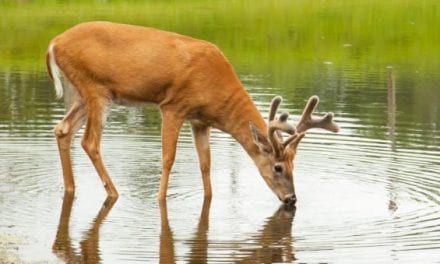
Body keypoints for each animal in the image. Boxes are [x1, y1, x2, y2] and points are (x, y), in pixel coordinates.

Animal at [46, 21, 338, 205]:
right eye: (278, 167)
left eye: (294, 165)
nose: (291, 199)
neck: (216, 87)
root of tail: (54, 43)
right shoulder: (173, 106)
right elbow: (168, 158)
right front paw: (160, 199)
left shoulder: (200, 120)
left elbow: (205, 163)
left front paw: (209, 198)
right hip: (95, 89)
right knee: (89, 142)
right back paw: (113, 193)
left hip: (82, 94)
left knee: (62, 129)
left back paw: (71, 188)